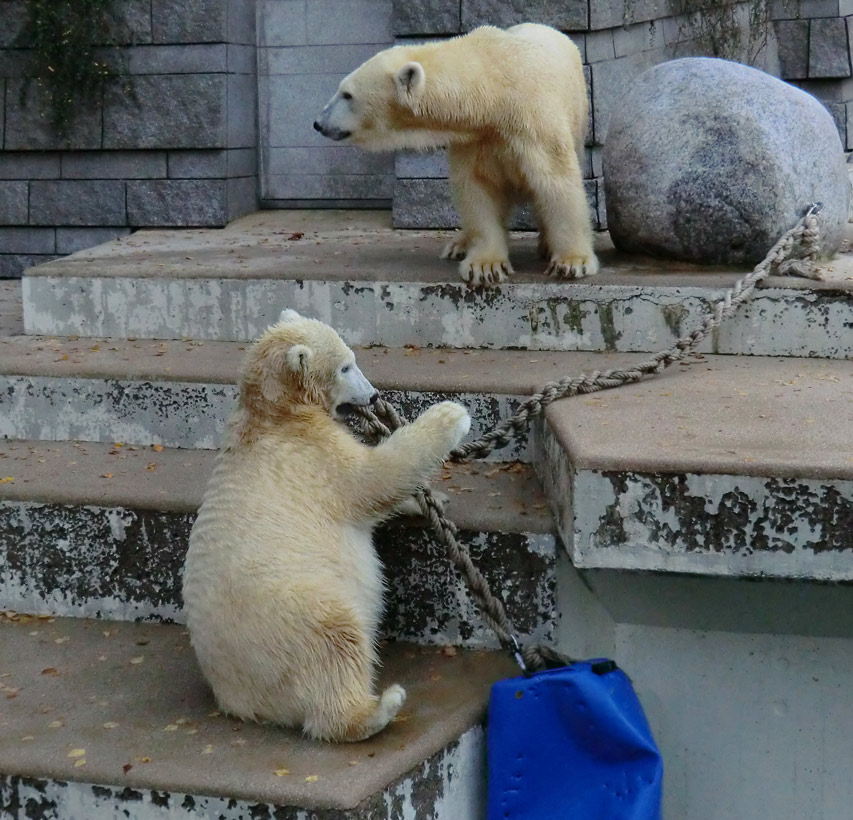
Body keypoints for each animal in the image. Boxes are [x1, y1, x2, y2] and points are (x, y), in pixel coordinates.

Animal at [181, 310, 472, 744]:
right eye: (346, 366)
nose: (373, 396)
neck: (274, 414)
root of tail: (239, 696)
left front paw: (435, 498)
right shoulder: (312, 457)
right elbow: (372, 478)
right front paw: (451, 415)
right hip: (289, 613)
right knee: (334, 640)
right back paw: (378, 708)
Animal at [312, 24, 600, 288]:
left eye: (347, 94)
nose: (318, 123)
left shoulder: (532, 120)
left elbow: (555, 179)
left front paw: (572, 262)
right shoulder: (473, 139)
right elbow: (477, 189)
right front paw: (485, 265)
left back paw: (545, 244)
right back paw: (458, 244)